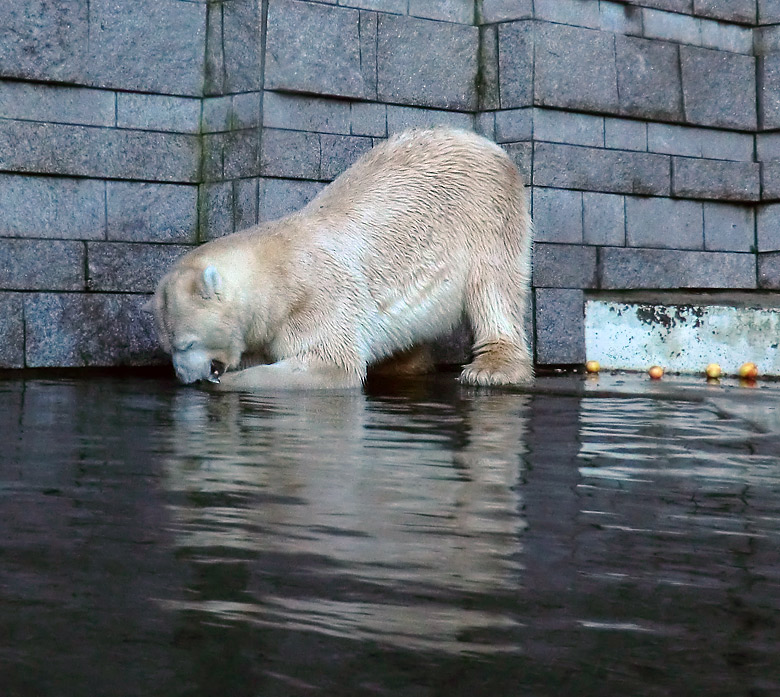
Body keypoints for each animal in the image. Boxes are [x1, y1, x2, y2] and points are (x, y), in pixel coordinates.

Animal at [149, 128, 532, 388]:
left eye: (187, 343)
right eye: (167, 347)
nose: (184, 377)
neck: (276, 273)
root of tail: (486, 143)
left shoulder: (316, 296)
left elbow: (330, 361)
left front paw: (229, 382)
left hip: (485, 216)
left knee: (493, 288)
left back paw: (492, 368)